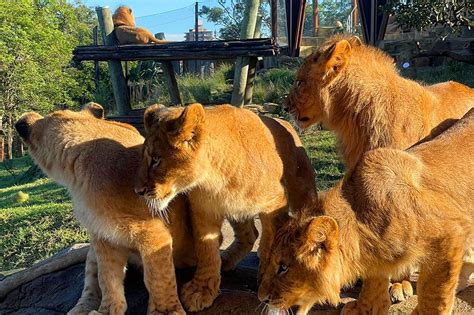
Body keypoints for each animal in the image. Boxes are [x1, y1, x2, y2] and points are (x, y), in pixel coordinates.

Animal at [15, 105, 194, 314]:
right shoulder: (104, 234)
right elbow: (106, 276)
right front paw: (108, 309)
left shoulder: (152, 232)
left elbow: (159, 278)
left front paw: (166, 311)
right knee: (90, 283)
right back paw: (81, 309)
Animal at [258, 109, 474, 315]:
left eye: (283, 267)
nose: (262, 298)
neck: (362, 213)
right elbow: (374, 281)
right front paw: (366, 308)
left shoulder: (450, 234)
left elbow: (434, 297)